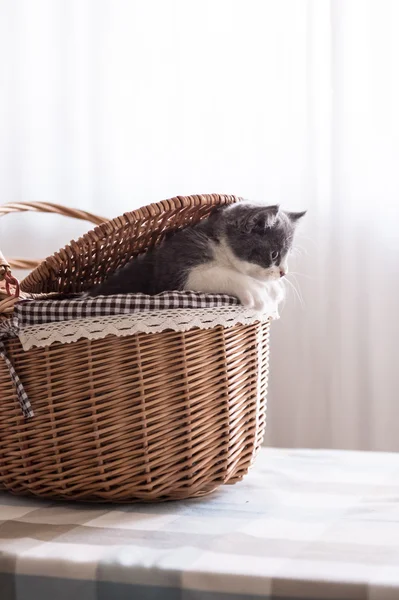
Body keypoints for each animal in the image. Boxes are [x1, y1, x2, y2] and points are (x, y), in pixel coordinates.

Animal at [88, 204, 306, 312]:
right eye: (274, 254)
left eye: (287, 255)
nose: (283, 273)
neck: (219, 246)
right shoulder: (172, 266)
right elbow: (215, 274)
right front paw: (256, 290)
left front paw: (275, 287)